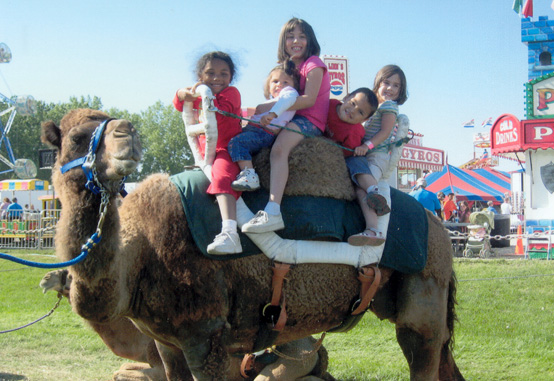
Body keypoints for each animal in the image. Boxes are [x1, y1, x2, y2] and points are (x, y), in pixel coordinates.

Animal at [41, 108, 462, 378]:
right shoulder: (167, 344)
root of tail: (439, 227)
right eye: (76, 138)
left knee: (422, 351)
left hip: (424, 295)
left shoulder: (205, 335)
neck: (140, 255)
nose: (126, 133)